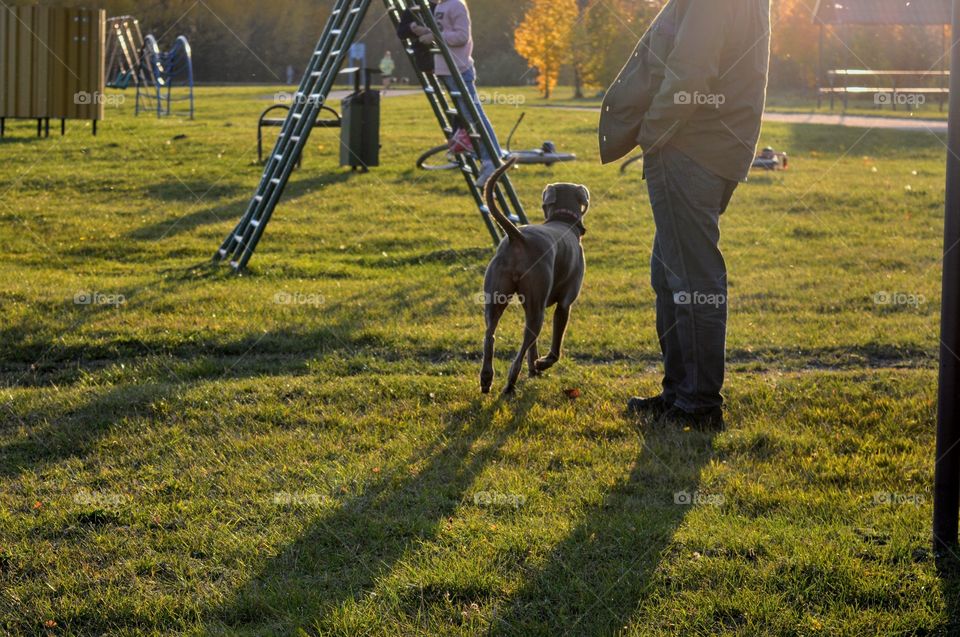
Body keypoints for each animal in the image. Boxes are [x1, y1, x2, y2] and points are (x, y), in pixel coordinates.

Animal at [478, 159, 588, 396]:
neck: (563, 221)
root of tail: (518, 237)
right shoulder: (564, 305)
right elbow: (555, 348)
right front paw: (541, 364)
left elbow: (532, 348)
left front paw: (534, 368)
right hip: (537, 311)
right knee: (521, 348)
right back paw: (510, 384)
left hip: (495, 298)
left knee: (490, 334)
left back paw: (486, 378)